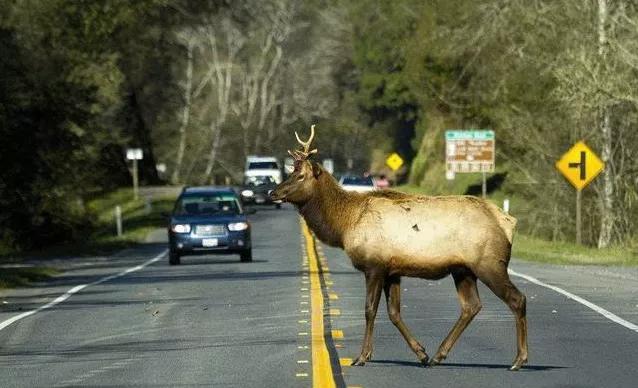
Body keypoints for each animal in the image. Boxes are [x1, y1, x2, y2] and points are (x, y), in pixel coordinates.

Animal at [274, 126, 528, 372]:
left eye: (300, 175)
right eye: (291, 171)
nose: (273, 192)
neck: (345, 224)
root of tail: (508, 223)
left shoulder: (374, 266)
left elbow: (370, 309)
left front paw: (362, 357)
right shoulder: (392, 272)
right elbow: (394, 313)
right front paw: (421, 353)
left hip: (489, 263)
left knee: (517, 298)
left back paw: (518, 359)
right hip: (463, 270)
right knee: (471, 306)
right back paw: (438, 355)